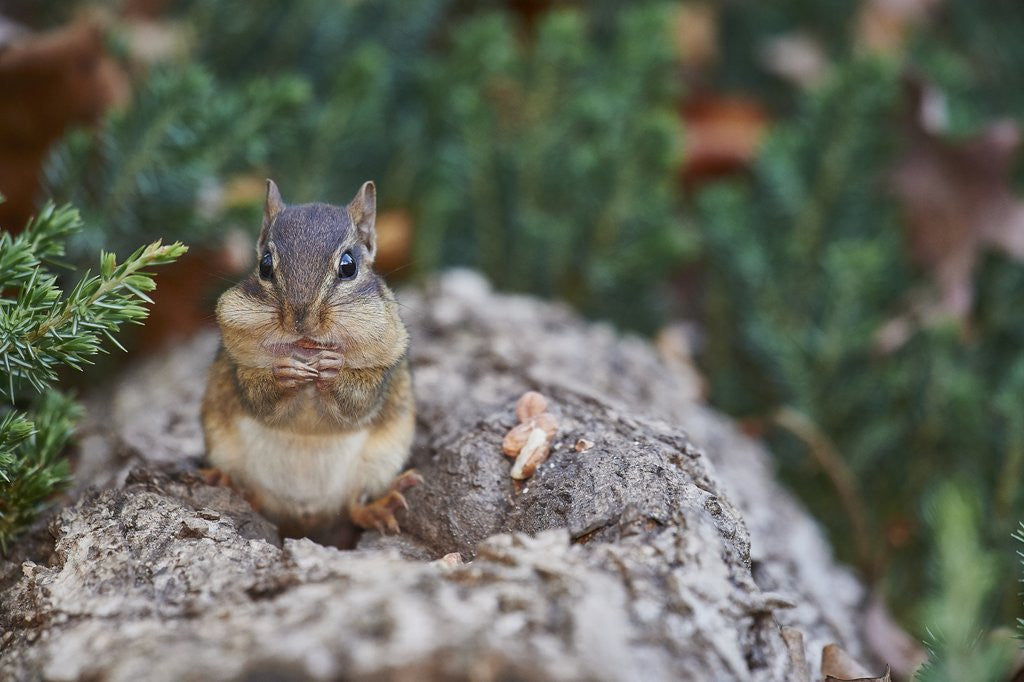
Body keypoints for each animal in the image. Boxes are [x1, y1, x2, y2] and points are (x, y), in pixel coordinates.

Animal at [201, 179, 419, 538]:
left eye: (349, 266)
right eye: (264, 265)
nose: (301, 321)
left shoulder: (385, 364)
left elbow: (361, 399)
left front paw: (334, 370)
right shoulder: (237, 363)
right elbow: (256, 394)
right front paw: (283, 373)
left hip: (378, 464)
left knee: (354, 507)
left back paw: (380, 507)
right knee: (255, 496)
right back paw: (228, 482)